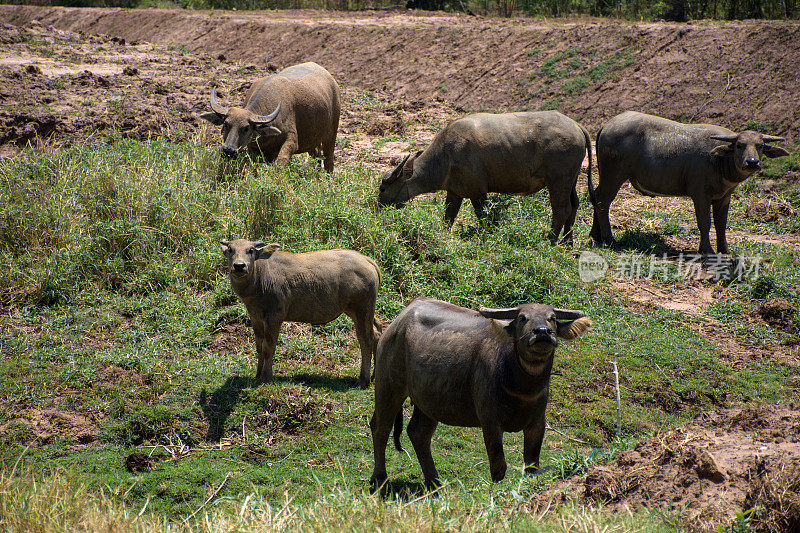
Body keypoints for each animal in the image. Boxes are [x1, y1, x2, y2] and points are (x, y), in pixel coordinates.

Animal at [200, 62, 340, 170]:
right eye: (225, 124)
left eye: (246, 128)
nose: (228, 151)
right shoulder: (256, 150)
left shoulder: (291, 142)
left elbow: (280, 164)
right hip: (313, 140)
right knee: (317, 156)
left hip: (331, 133)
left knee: (328, 159)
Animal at [219, 238, 382, 386]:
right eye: (231, 250)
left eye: (251, 250)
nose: (239, 266)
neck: (260, 279)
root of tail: (368, 260)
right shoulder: (255, 318)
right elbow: (259, 346)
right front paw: (257, 374)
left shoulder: (274, 318)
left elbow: (268, 347)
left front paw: (266, 377)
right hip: (362, 310)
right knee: (377, 332)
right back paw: (374, 375)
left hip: (362, 308)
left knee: (366, 339)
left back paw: (363, 380)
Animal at [368, 296, 588, 486]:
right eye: (522, 318)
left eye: (552, 318)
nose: (542, 332)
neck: (522, 388)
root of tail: (396, 324)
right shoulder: (489, 420)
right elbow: (498, 464)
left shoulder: (537, 422)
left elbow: (532, 464)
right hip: (388, 386)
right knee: (380, 428)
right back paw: (379, 479)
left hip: (428, 401)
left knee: (418, 433)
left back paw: (434, 483)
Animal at [378, 112, 592, 245]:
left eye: (383, 189)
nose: (378, 207)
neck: (447, 155)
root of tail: (576, 126)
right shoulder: (454, 194)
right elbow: (448, 218)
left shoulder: (477, 193)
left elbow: (483, 217)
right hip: (571, 181)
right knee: (574, 206)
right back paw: (568, 243)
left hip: (558, 181)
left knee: (561, 210)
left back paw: (550, 241)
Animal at [592, 110, 792, 254]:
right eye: (739, 145)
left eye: (760, 146)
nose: (752, 162)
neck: (718, 161)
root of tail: (606, 126)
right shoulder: (700, 196)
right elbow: (704, 223)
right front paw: (707, 249)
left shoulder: (724, 197)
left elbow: (721, 224)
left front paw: (724, 249)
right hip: (613, 175)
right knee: (603, 201)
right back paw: (609, 239)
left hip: (606, 176)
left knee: (596, 197)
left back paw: (596, 235)